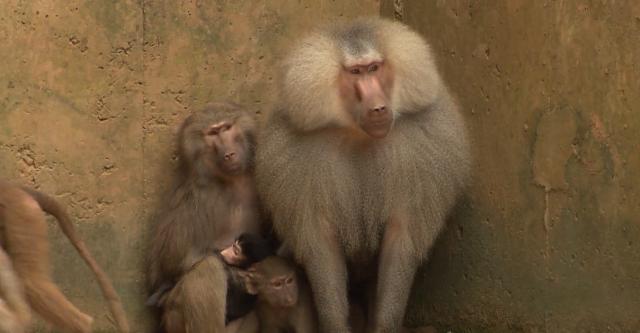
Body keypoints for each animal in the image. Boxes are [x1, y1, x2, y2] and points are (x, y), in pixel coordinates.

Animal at [146, 102, 266, 330]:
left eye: (227, 128)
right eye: (212, 133)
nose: (229, 154)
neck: (233, 182)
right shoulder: (200, 197)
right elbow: (169, 267)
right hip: (173, 318)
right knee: (206, 269)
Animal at [255, 18, 470, 332]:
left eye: (374, 68)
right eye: (355, 72)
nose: (379, 108)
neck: (357, 135)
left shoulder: (420, 150)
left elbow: (400, 239)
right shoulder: (297, 161)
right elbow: (322, 246)